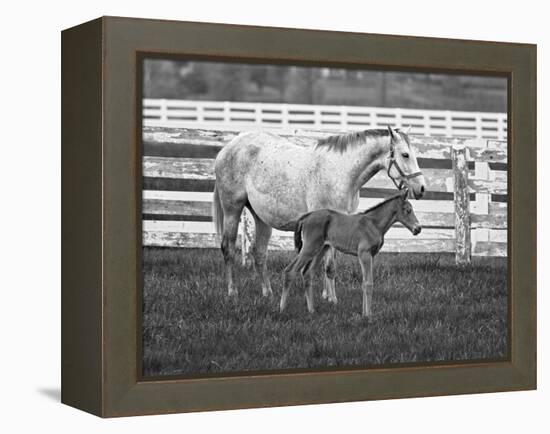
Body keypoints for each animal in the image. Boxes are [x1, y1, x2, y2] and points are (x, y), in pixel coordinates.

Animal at [211, 125, 426, 300]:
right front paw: (332, 299)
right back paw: (232, 291)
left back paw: (268, 293)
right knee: (228, 248)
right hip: (232, 209)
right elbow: (328, 265)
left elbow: (329, 264)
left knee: (260, 253)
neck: (341, 173)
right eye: (405, 155)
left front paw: (326, 295)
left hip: (261, 218)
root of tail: (227, 148)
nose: (422, 188)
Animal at [282, 188, 424, 318]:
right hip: (309, 248)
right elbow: (368, 283)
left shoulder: (371, 255)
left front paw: (364, 313)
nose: (418, 229)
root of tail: (306, 217)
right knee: (290, 270)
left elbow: (364, 282)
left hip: (320, 249)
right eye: (408, 210)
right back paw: (282, 309)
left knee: (307, 273)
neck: (373, 224)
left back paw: (311, 310)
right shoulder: (364, 254)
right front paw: (368, 316)